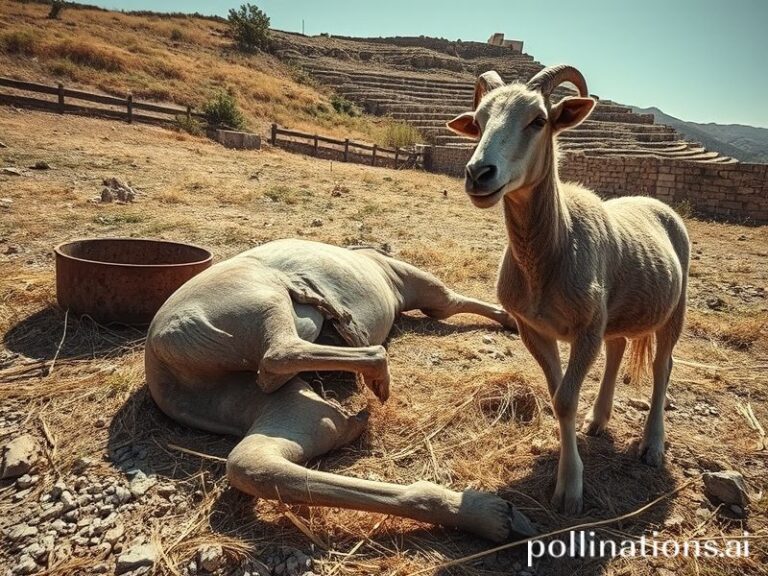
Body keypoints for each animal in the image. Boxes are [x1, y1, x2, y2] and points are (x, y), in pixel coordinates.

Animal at [145, 239, 534, 542]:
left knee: (258, 461)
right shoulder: (419, 285)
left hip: (285, 407)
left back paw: (486, 516)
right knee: (280, 352)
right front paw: (511, 319)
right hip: (261, 295)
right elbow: (450, 303)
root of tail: (160, 349)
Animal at [446, 65, 690, 514]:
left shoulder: (586, 328)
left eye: (538, 120)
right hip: (616, 314)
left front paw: (570, 489)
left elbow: (564, 399)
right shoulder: (534, 328)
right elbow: (557, 395)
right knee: (618, 349)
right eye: (479, 122)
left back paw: (652, 445)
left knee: (662, 368)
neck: (554, 249)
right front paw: (568, 466)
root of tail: (655, 202)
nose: (478, 174)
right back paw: (598, 419)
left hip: (674, 310)